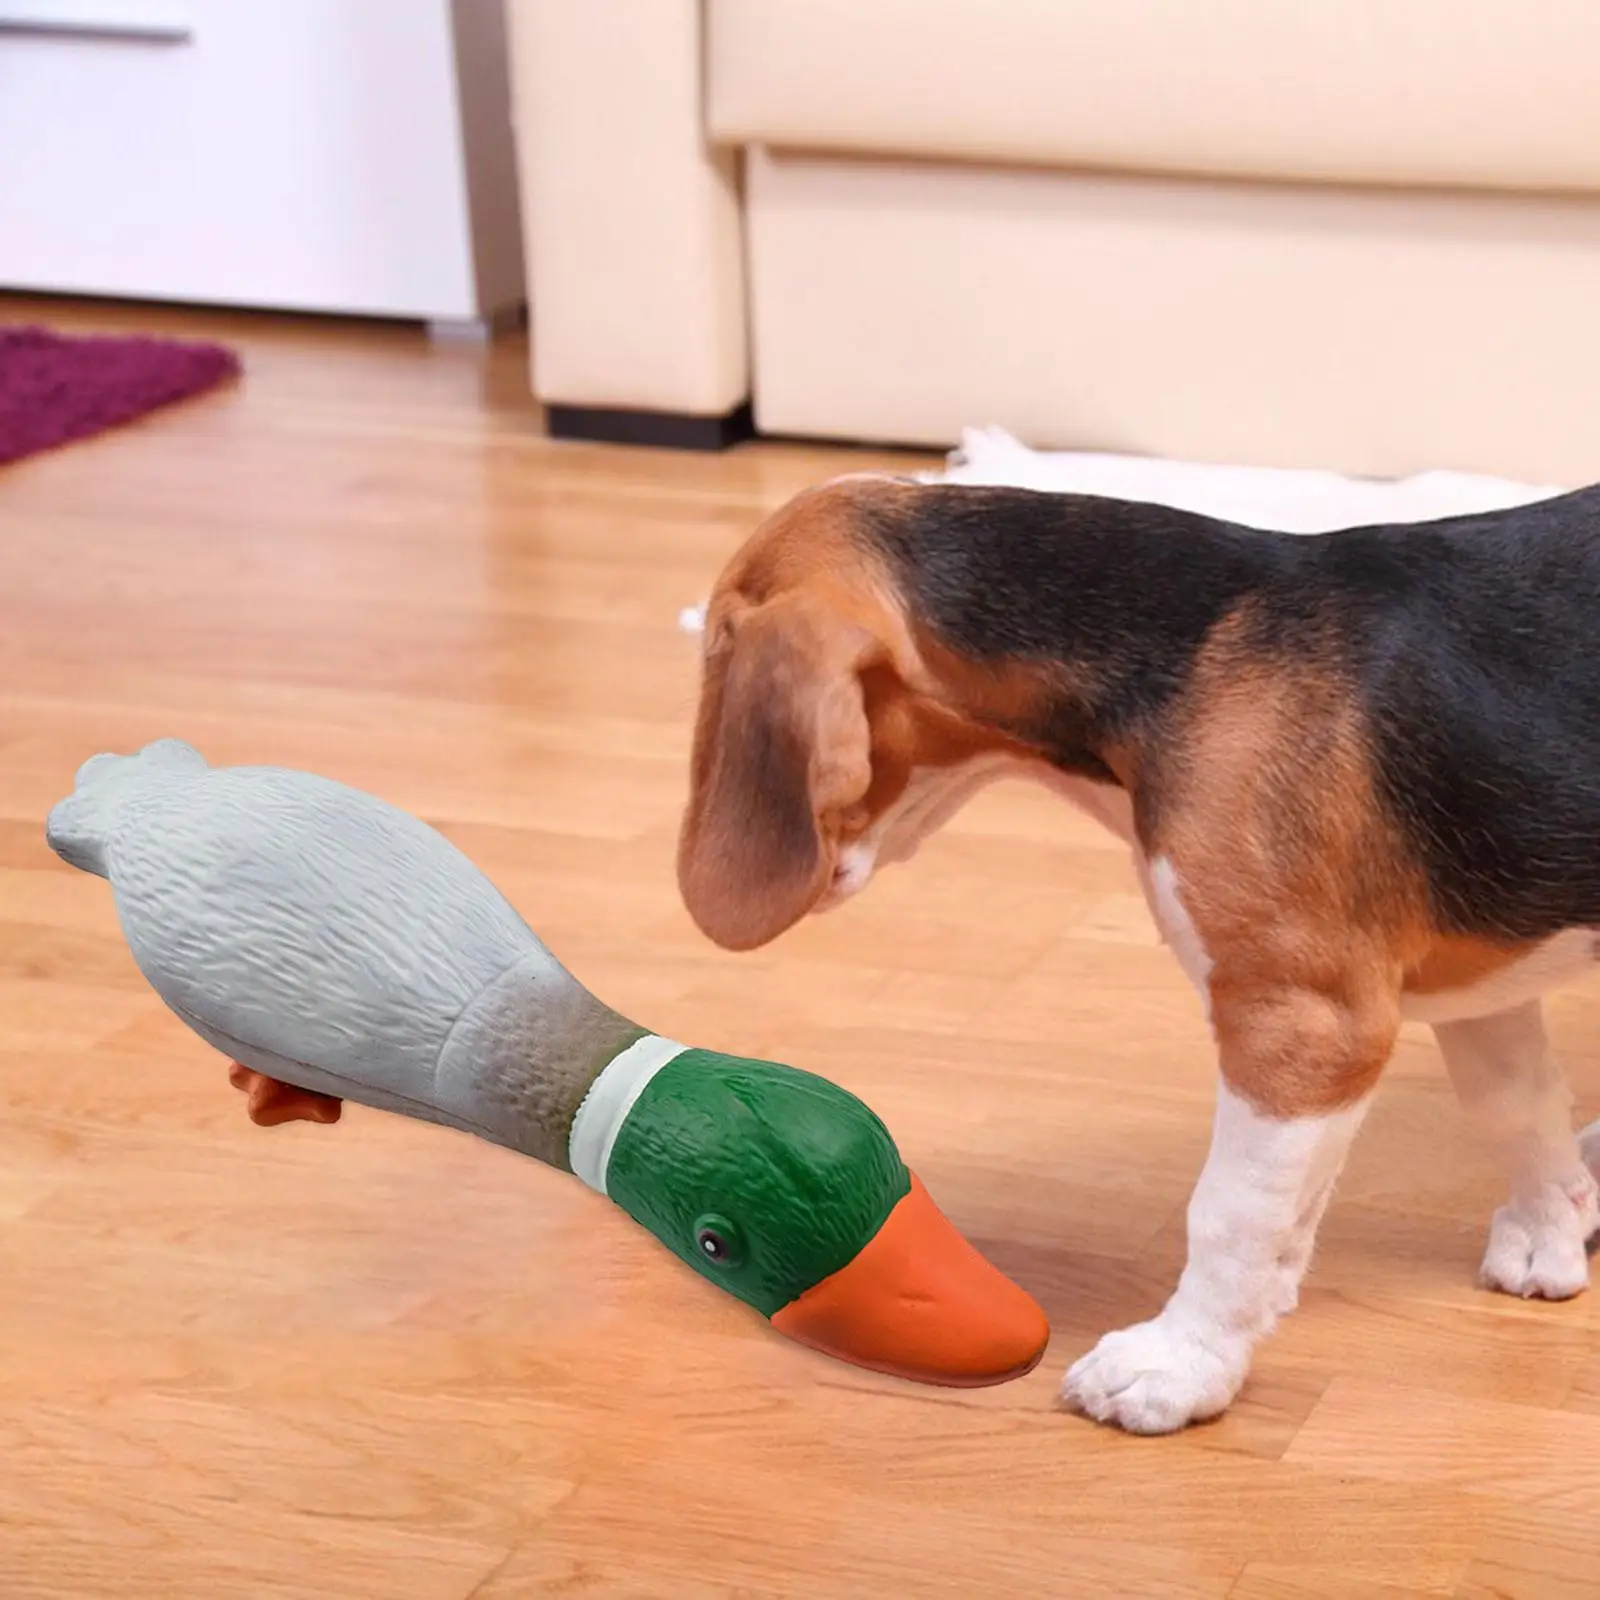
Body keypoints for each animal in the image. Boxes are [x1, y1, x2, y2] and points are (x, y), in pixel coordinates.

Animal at [675, 470, 1600, 1440]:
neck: (1184, 642)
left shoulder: (1302, 1023)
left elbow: (1233, 1213)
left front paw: (1180, 1364)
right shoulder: (1485, 977)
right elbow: (1513, 1106)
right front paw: (1551, 1226)